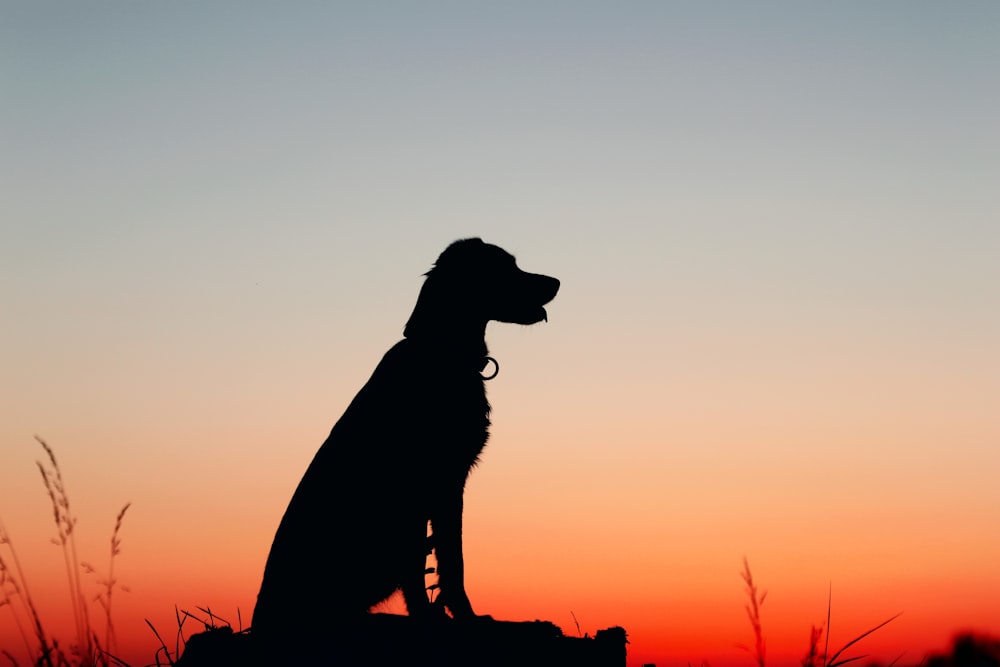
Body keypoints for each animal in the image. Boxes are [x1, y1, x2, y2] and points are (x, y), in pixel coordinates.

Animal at [252, 239, 564, 652]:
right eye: (505, 267)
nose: (556, 282)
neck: (441, 354)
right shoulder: (426, 485)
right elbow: (434, 563)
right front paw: (439, 620)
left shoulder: (450, 484)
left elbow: (451, 560)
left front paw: (464, 617)